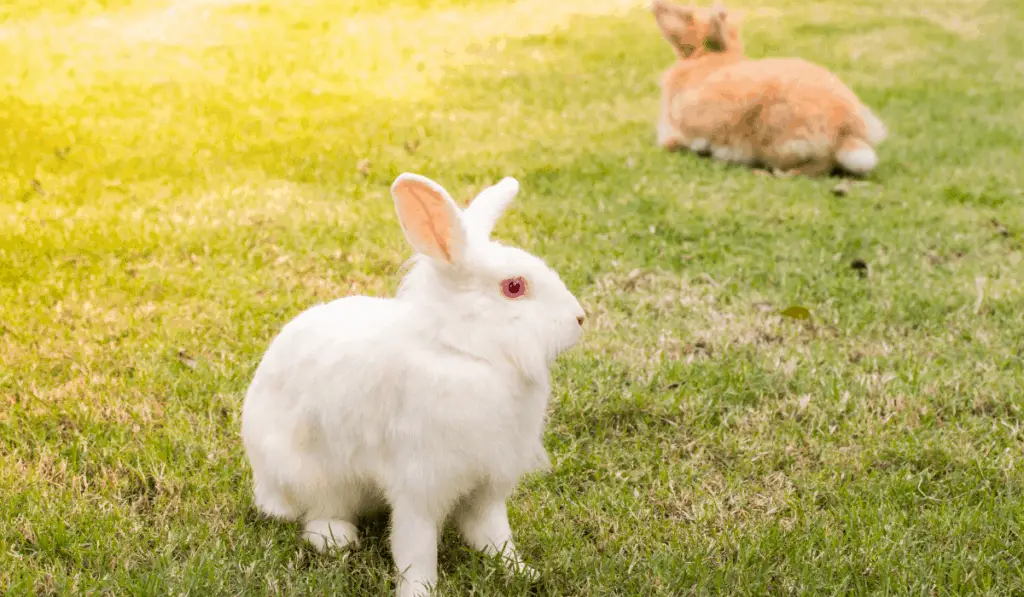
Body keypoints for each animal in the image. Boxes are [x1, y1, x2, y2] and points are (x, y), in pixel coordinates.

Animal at [238, 171, 585, 593]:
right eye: (514, 287)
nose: (580, 318)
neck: (466, 352)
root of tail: (264, 485)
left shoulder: (489, 485)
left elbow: (492, 533)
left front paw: (522, 571)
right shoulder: (420, 484)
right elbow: (416, 547)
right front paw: (419, 590)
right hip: (313, 477)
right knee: (317, 514)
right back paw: (337, 538)